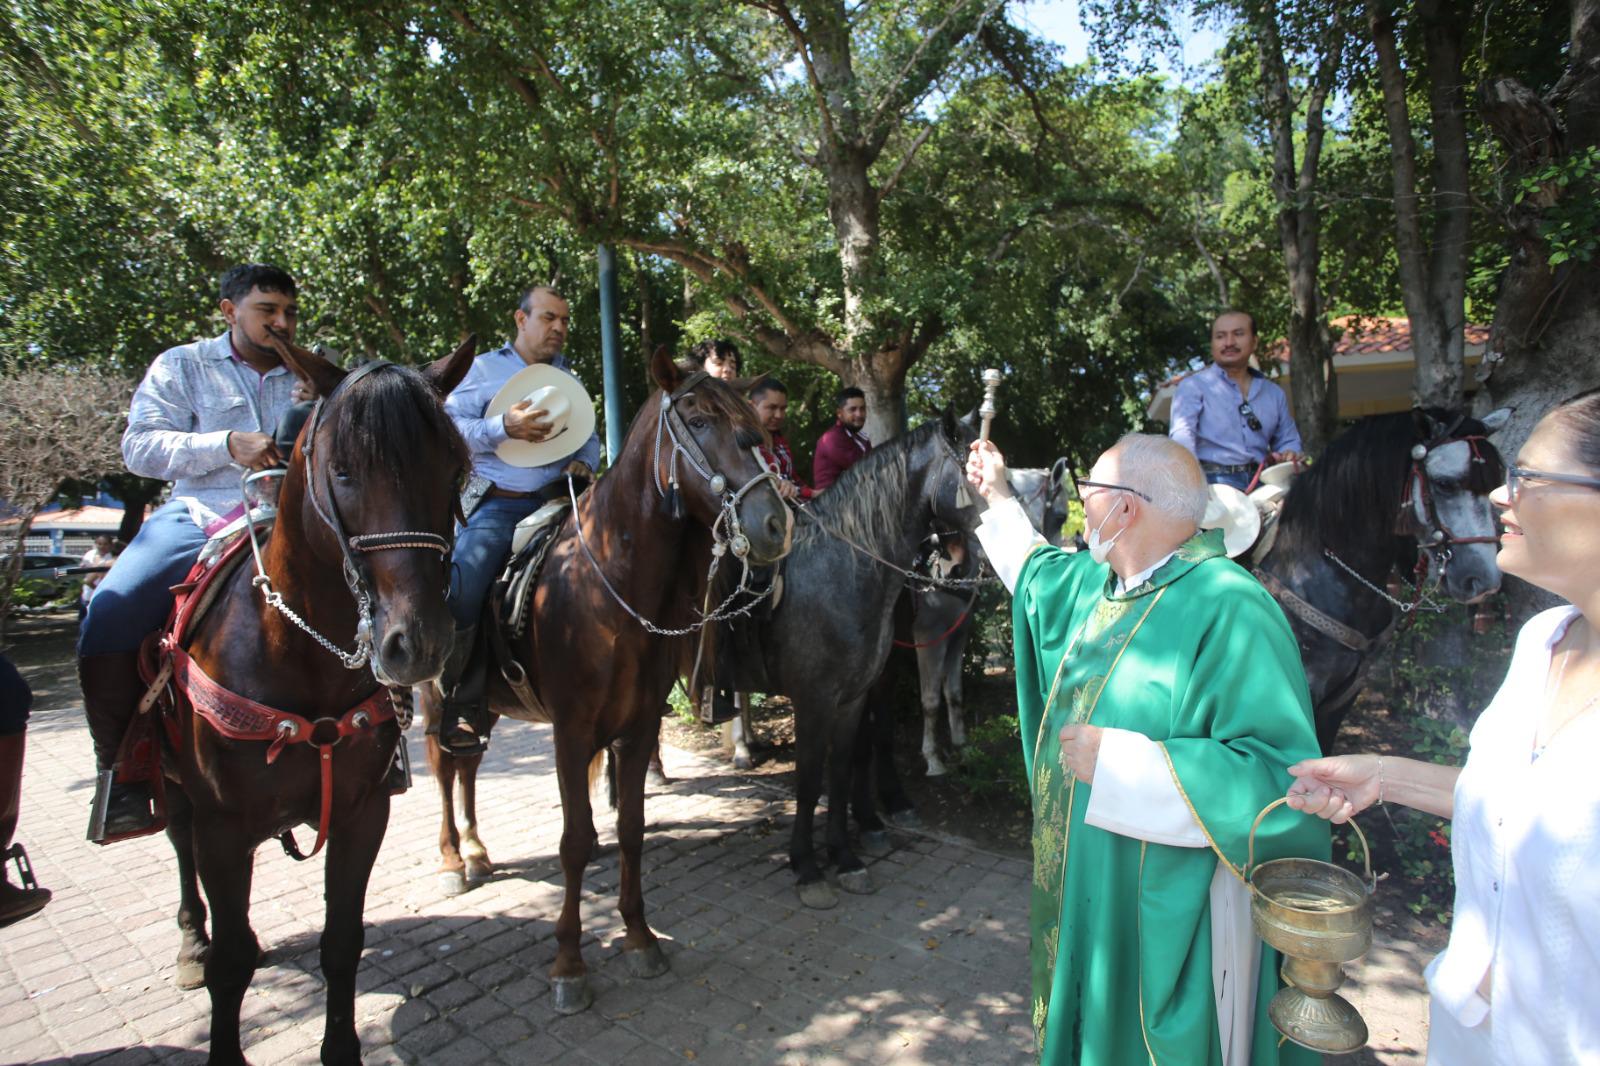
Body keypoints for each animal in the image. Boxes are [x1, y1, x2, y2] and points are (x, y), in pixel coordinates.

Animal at [156, 334, 473, 1062]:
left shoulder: (362, 813)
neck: (296, 657)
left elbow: (342, 942)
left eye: (454, 469)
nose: (417, 641)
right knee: (179, 839)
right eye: (345, 470)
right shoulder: (223, 829)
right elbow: (232, 964)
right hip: (174, 786)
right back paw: (190, 941)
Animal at [412, 350, 787, 1011]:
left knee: (468, 766)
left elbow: (631, 830)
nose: (772, 523)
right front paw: (569, 964)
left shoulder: (635, 730)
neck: (608, 582)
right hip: (436, 700)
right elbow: (576, 841)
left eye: (753, 426)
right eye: (697, 419)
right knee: (440, 767)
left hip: (482, 706)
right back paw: (454, 859)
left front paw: (639, 937)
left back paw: (479, 853)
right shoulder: (572, 732)